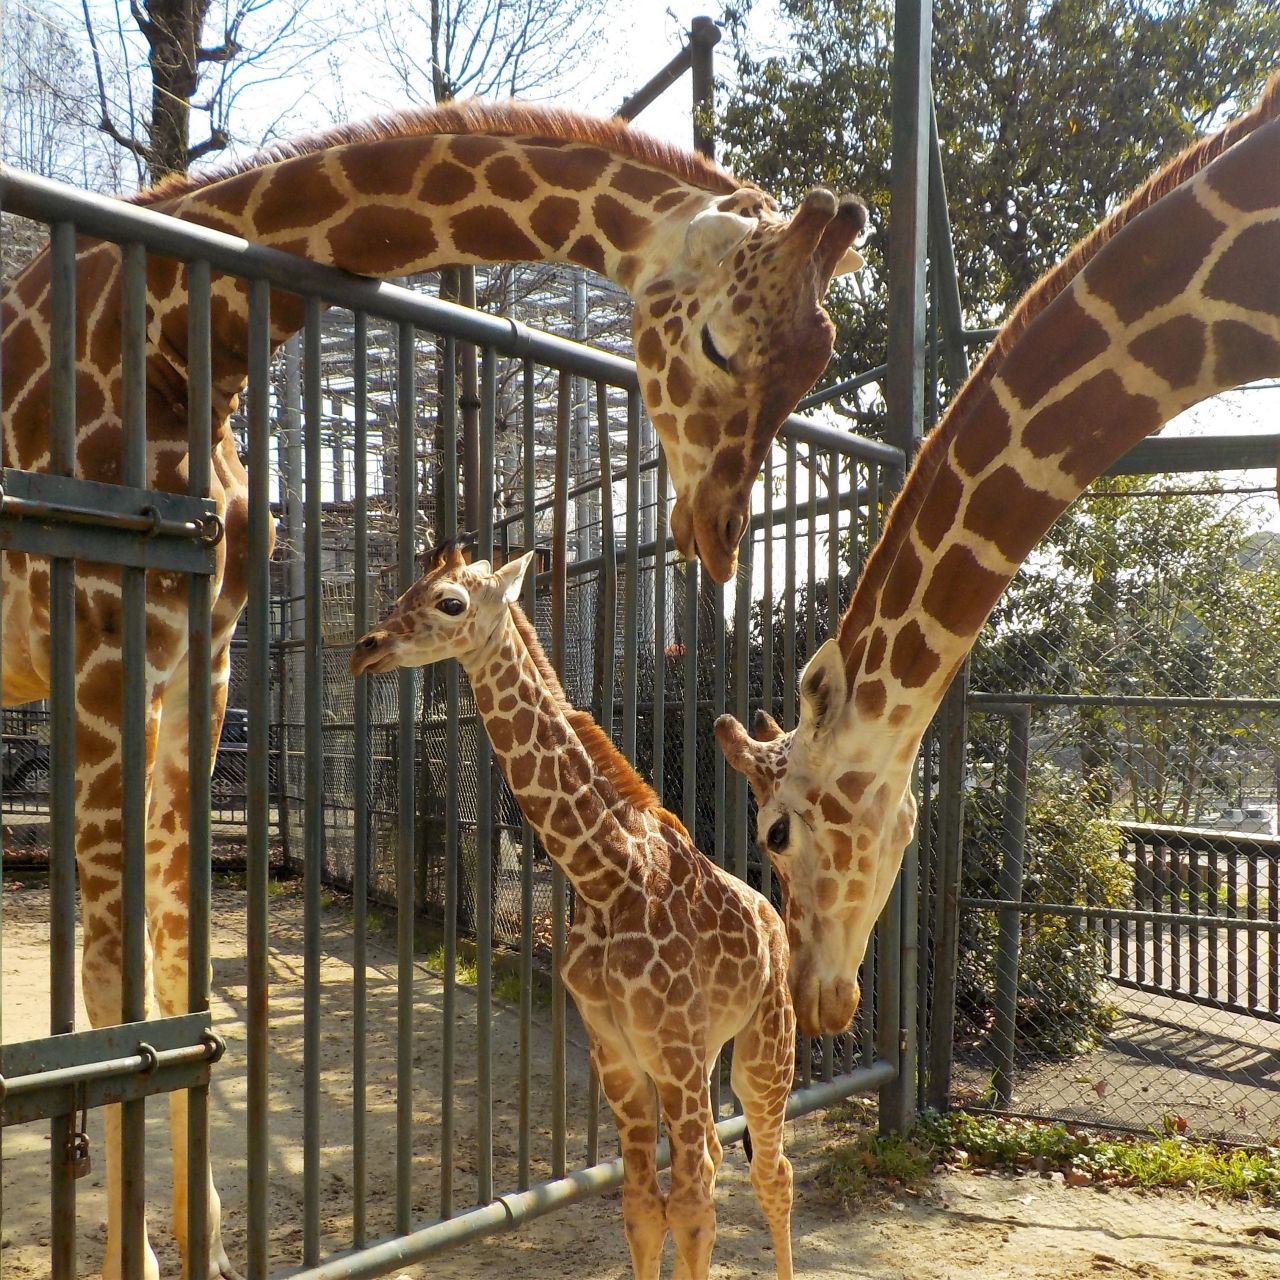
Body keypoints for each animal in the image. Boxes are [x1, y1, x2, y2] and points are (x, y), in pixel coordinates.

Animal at [350, 545, 798, 1280]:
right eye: (404, 593)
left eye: (450, 602)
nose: (367, 648)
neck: (607, 878)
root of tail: (773, 915)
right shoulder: (616, 1054)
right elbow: (643, 1209)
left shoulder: (672, 1050)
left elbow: (693, 1211)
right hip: (708, 1053)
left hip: (765, 1045)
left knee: (772, 1171)